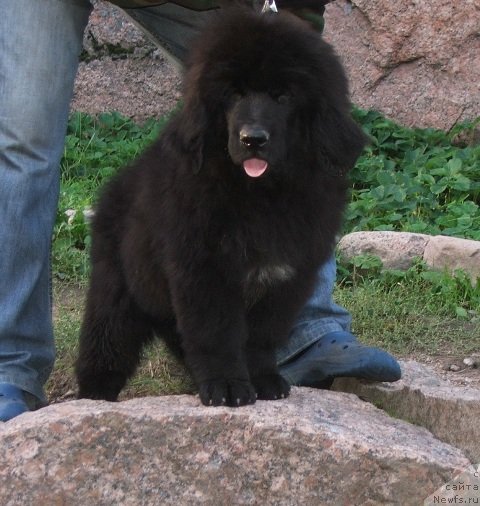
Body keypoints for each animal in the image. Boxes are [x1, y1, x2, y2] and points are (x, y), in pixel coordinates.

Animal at [77, 7, 366, 408]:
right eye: (233, 94)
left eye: (283, 96)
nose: (252, 139)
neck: (260, 195)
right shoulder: (204, 271)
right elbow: (216, 334)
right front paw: (226, 386)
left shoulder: (288, 276)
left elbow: (260, 337)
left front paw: (262, 380)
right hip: (117, 289)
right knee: (105, 345)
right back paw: (93, 397)